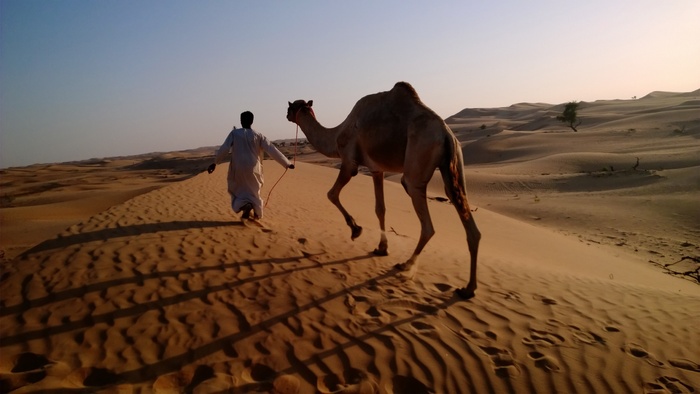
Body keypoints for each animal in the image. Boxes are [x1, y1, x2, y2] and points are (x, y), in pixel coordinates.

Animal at [286, 82, 482, 298]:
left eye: (290, 106)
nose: (286, 114)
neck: (336, 135)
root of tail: (446, 135)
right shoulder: (376, 169)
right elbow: (380, 208)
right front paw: (381, 248)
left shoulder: (349, 162)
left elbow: (332, 194)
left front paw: (356, 229)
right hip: (454, 166)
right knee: (464, 213)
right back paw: (468, 288)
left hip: (417, 163)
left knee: (426, 222)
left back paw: (406, 264)